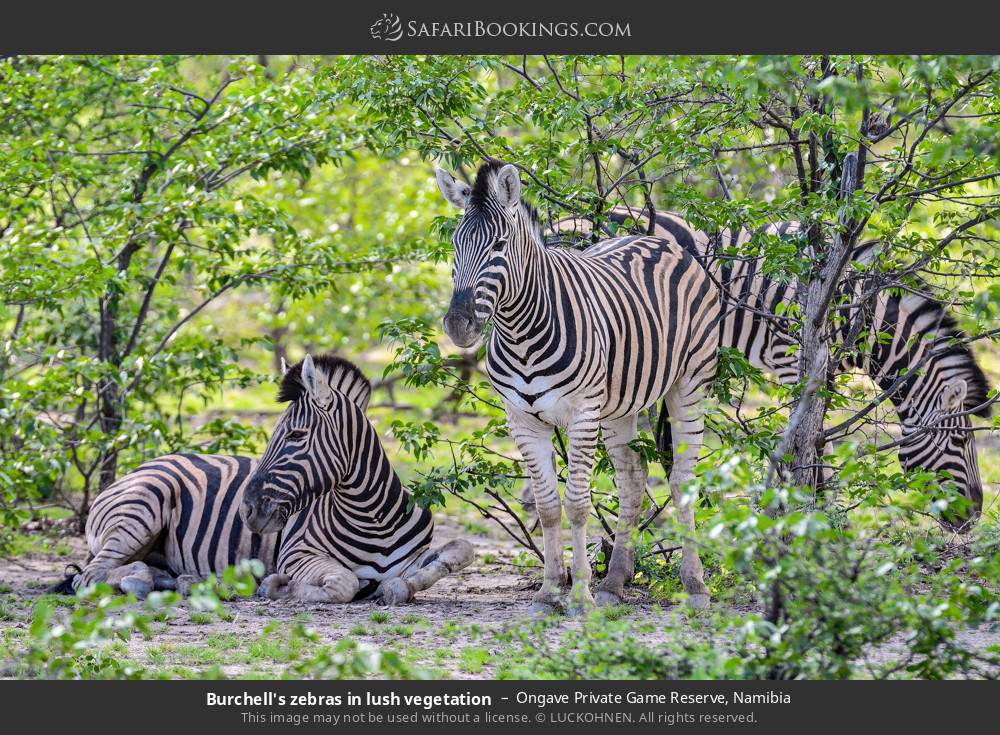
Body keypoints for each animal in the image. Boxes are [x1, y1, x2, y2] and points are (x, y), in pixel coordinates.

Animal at [52, 356, 474, 604]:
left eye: (296, 437)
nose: (247, 510)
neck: (374, 519)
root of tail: (139, 468)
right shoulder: (296, 553)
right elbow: (343, 584)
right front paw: (278, 586)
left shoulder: (421, 555)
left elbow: (456, 552)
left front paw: (399, 585)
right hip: (141, 509)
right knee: (90, 576)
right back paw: (150, 582)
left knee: (124, 571)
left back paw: (186, 582)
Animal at [436, 161, 720, 616]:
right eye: (456, 244)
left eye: (499, 245)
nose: (458, 325)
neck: (521, 334)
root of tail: (654, 239)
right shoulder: (522, 420)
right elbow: (549, 506)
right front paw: (551, 591)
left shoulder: (582, 414)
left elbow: (577, 502)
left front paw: (581, 595)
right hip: (622, 402)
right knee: (632, 478)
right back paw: (615, 584)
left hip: (691, 382)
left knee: (681, 479)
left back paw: (694, 586)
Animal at [556, 207, 992, 528]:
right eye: (960, 441)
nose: (974, 516)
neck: (855, 312)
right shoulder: (792, 355)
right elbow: (808, 441)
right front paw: (815, 515)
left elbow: (815, 440)